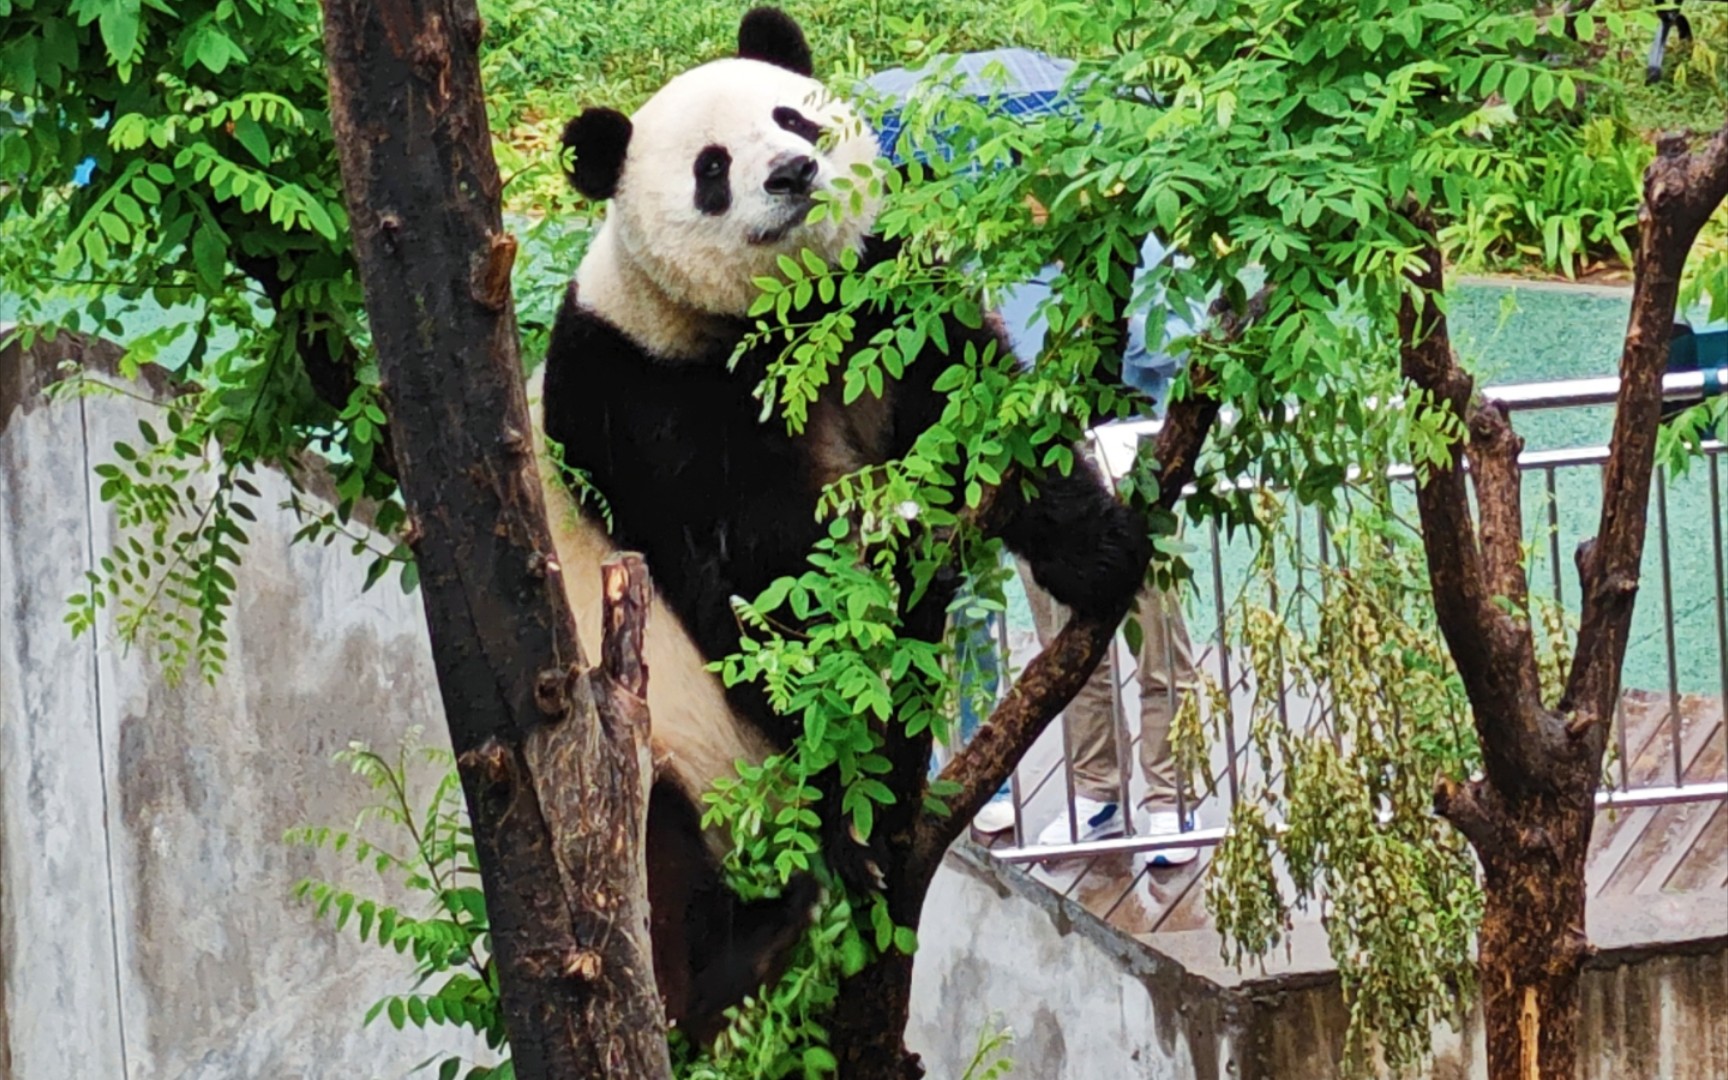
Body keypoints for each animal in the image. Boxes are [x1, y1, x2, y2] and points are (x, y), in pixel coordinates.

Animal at [528, 4, 1147, 1043]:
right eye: (710, 167)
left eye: (794, 116)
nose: (790, 171)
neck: (782, 320)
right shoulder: (641, 399)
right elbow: (757, 581)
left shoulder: (881, 297)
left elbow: (979, 412)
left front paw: (1105, 551)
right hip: (643, 752)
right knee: (653, 860)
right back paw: (747, 946)